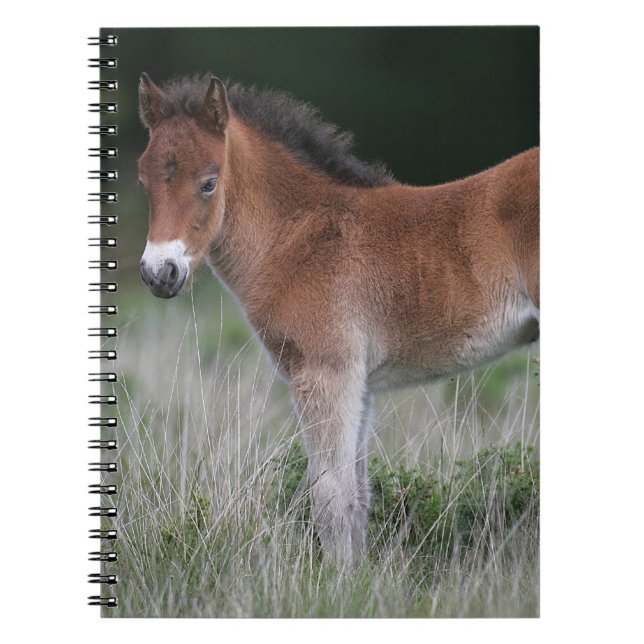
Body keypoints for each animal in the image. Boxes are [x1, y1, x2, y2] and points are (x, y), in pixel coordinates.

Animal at [137, 73, 540, 565]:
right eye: (143, 179)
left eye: (209, 183)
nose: (160, 273)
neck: (300, 235)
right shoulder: (358, 382)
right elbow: (357, 496)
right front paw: (356, 575)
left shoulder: (326, 371)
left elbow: (329, 495)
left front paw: (335, 579)